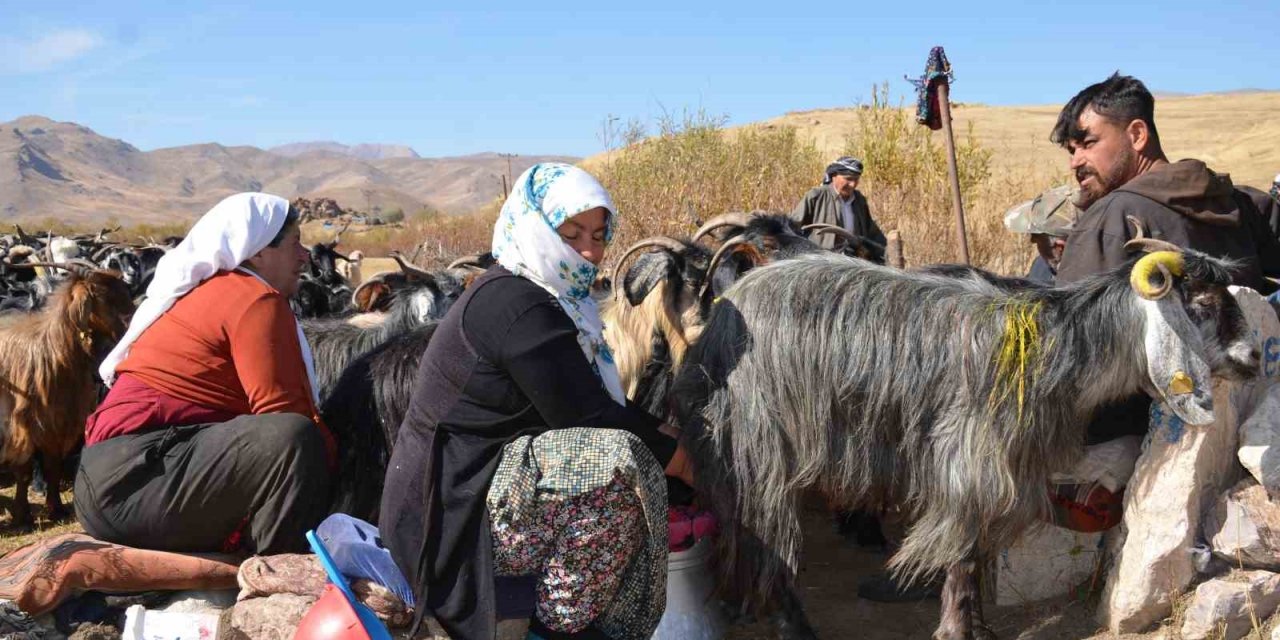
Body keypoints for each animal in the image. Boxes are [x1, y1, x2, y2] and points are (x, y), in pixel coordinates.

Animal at [675, 241, 1264, 637]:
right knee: (765, 532)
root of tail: (722, 309)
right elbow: (960, 558)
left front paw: (979, 625)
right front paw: (956, 629)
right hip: (758, 442)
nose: (1255, 357)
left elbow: (977, 555)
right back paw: (789, 623)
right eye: (1202, 304)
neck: (1050, 349)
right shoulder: (967, 466)